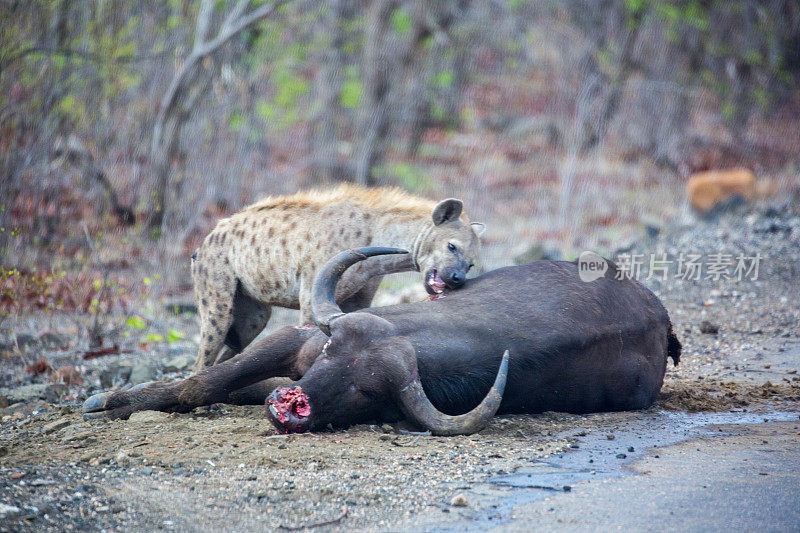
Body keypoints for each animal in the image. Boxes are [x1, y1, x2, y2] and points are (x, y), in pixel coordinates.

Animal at [83, 247, 680, 434]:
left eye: (366, 390)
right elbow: (205, 382)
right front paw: (113, 400)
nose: (292, 404)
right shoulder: (296, 340)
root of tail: (660, 314)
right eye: (329, 353)